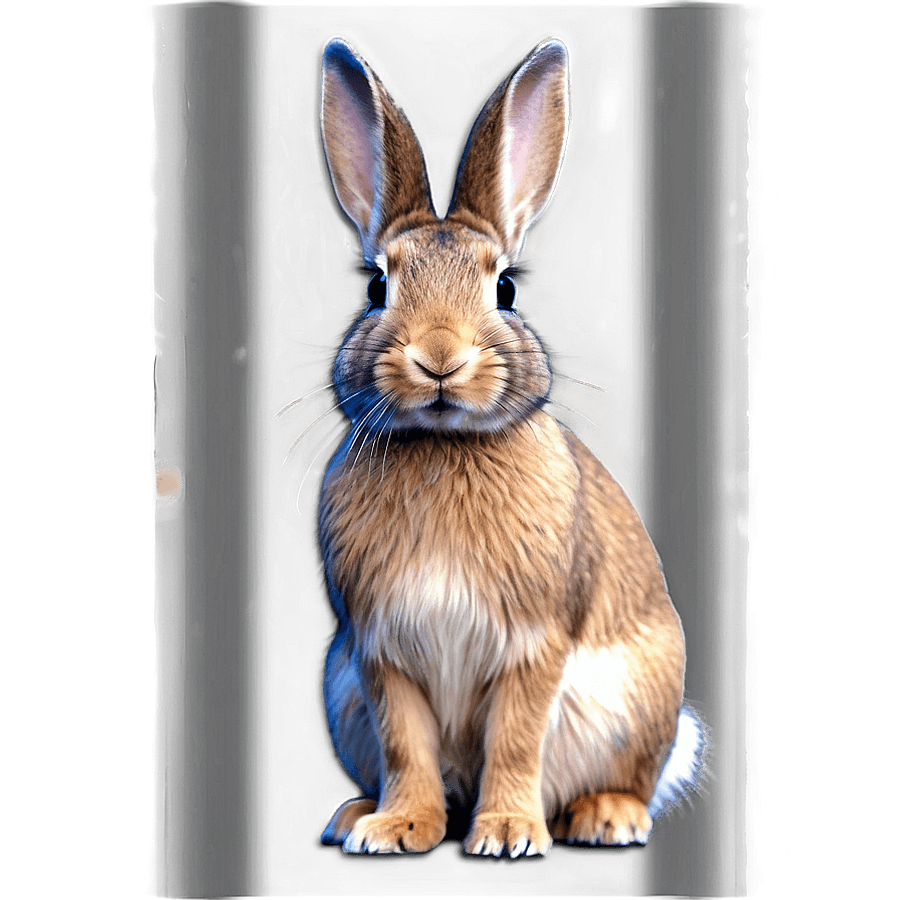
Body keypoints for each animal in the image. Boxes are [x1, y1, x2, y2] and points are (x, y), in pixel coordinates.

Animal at [314, 36, 709, 858]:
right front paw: (398, 828)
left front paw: (504, 835)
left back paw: (606, 817)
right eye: (375, 288)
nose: (439, 356)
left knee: (628, 778)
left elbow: (517, 738)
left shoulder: (534, 644)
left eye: (506, 288)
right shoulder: (378, 654)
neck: (442, 444)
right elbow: (406, 744)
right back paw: (351, 816)